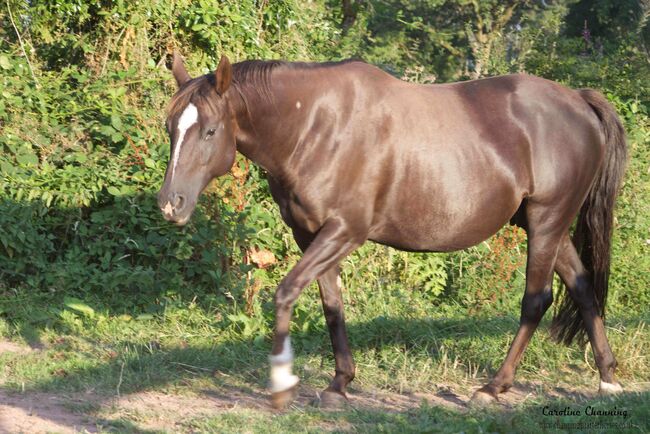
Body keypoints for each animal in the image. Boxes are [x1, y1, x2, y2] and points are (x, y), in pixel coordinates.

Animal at [154, 52, 624, 408]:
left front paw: (282, 382)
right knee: (583, 287)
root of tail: (579, 101)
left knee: (536, 300)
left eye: (210, 130)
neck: (315, 126)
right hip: (547, 225)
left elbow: (286, 292)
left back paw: (493, 387)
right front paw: (339, 383)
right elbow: (332, 305)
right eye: (171, 128)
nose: (170, 204)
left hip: (547, 220)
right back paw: (608, 378)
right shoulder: (312, 236)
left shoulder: (344, 231)